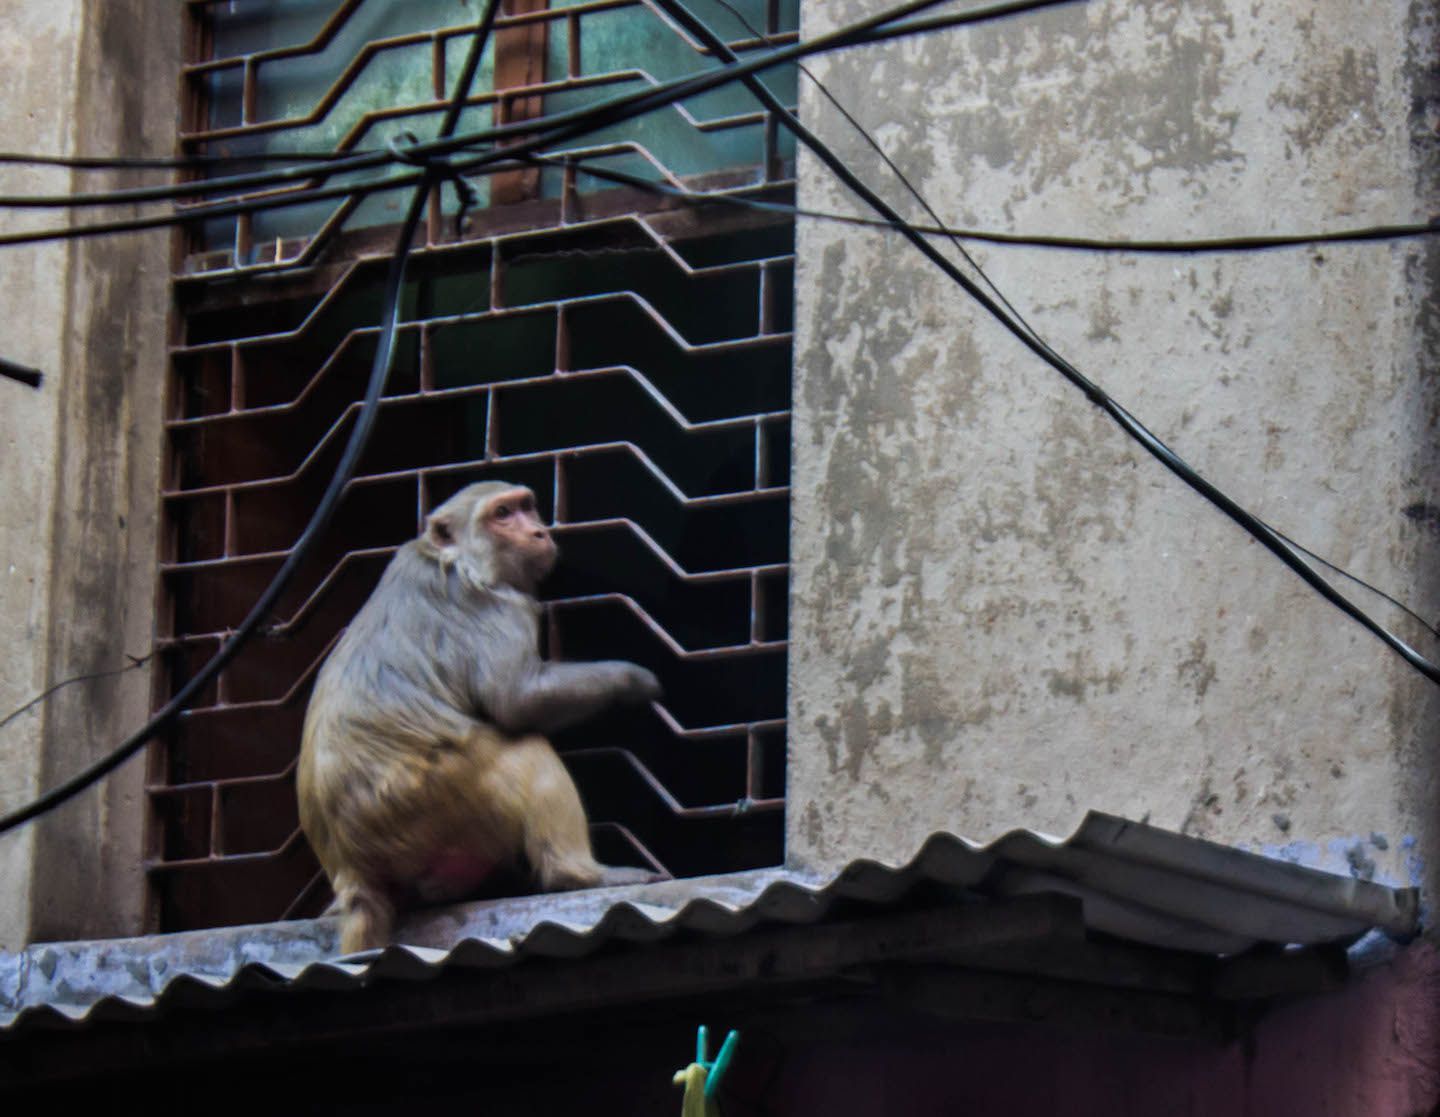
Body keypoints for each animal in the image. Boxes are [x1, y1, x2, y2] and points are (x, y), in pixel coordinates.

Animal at [298, 480, 663, 954]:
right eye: (502, 514)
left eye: (526, 507)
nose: (538, 533)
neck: (448, 556)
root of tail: (351, 866)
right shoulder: (494, 601)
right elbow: (517, 699)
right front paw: (634, 680)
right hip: (439, 793)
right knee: (526, 748)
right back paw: (578, 875)